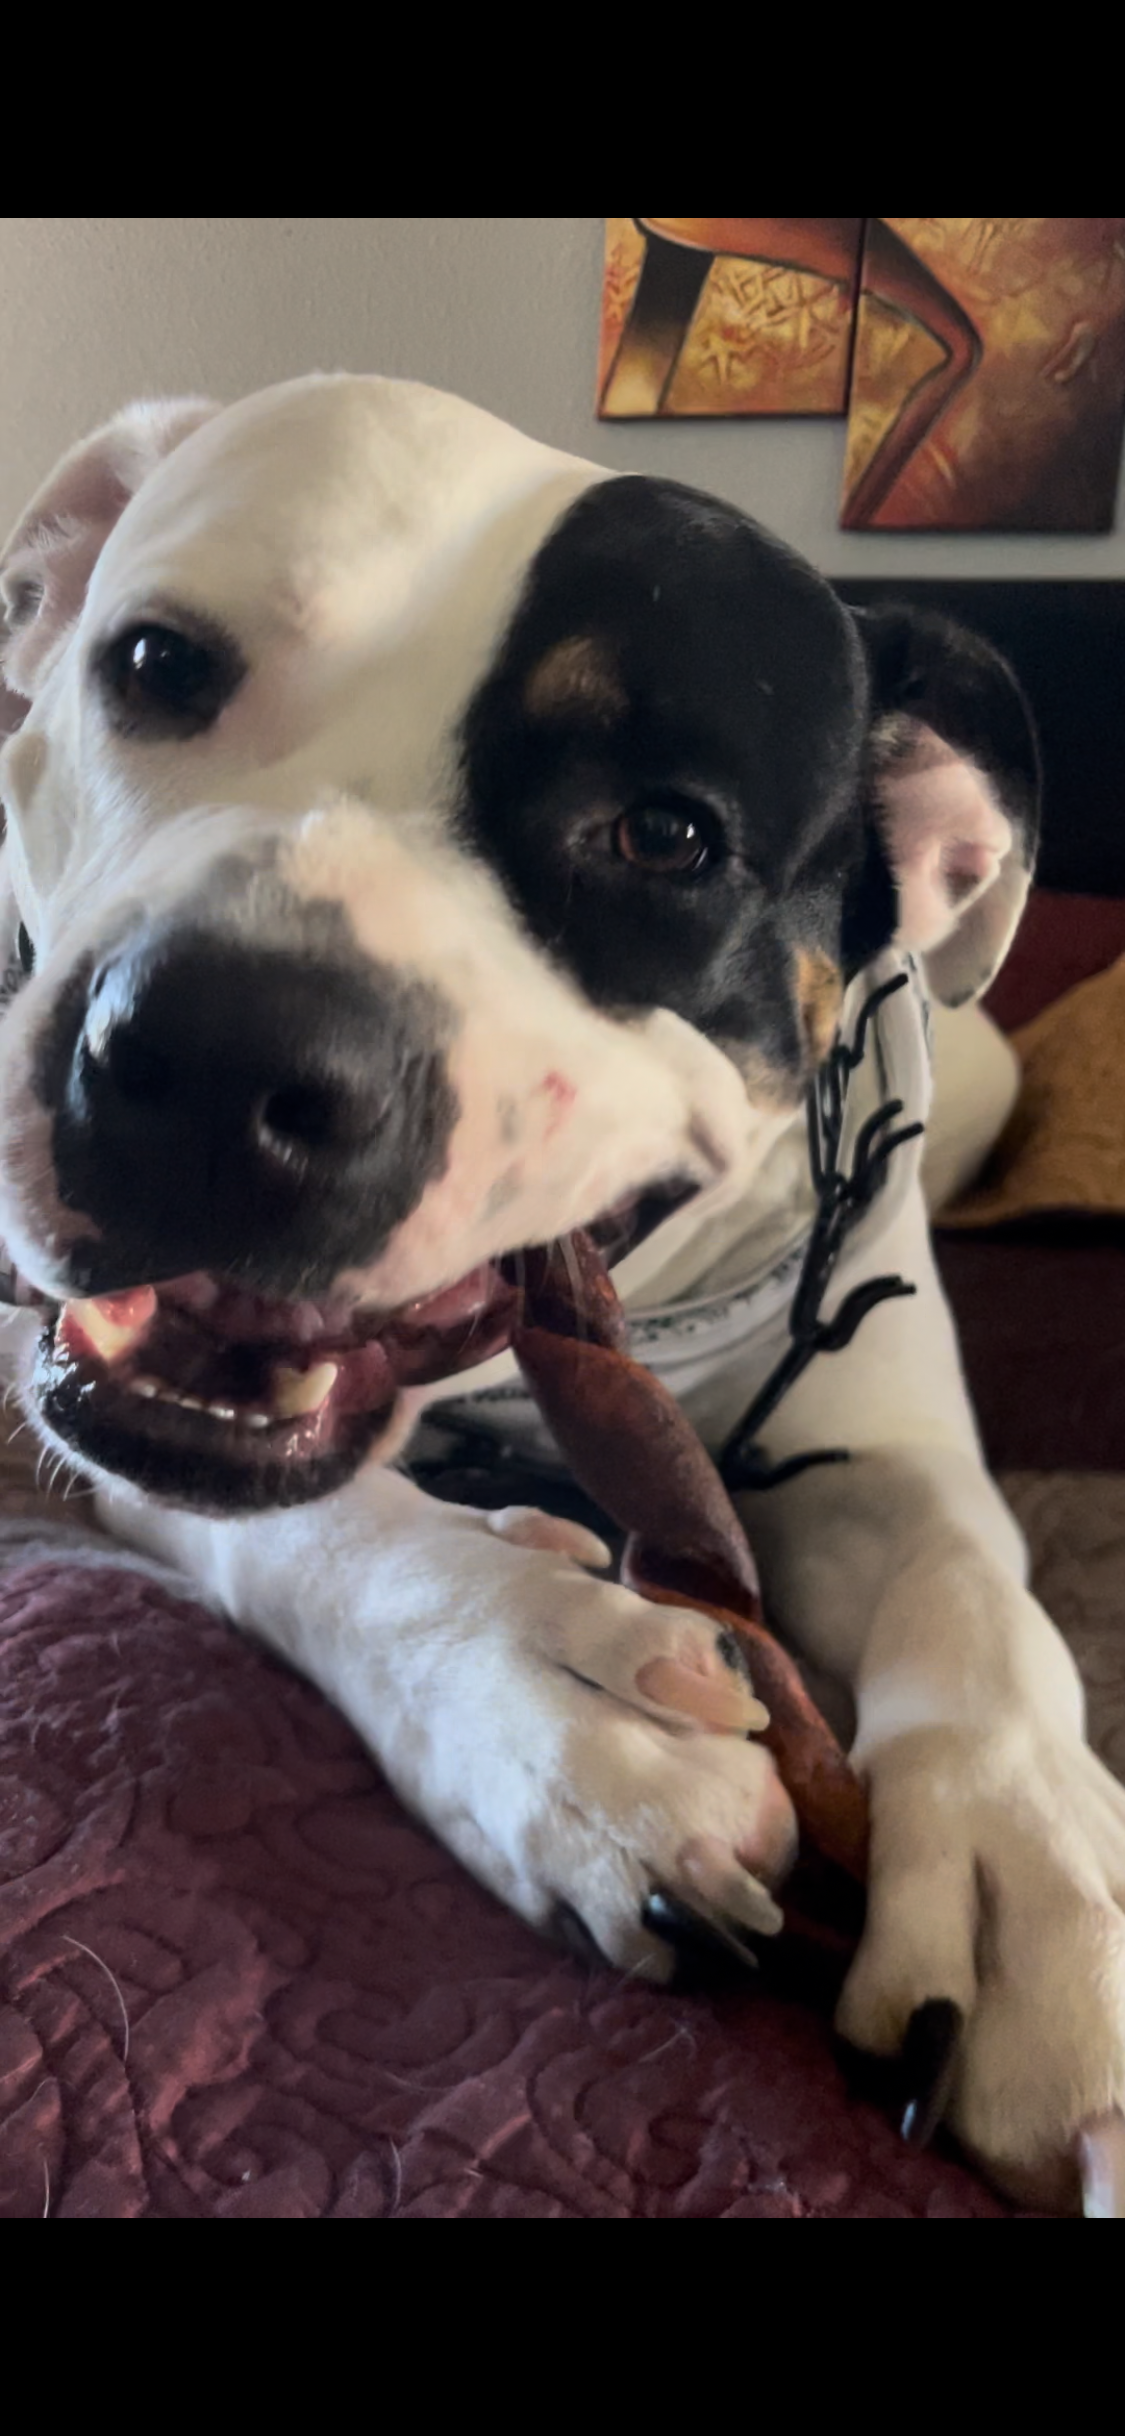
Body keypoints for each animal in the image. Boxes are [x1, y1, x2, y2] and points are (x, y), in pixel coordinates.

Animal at [0, 375, 1120, 2211]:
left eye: (668, 833)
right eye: (158, 663)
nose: (208, 1054)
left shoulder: (885, 1445)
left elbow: (976, 1599)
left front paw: (1035, 1883)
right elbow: (324, 1528)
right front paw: (550, 1687)